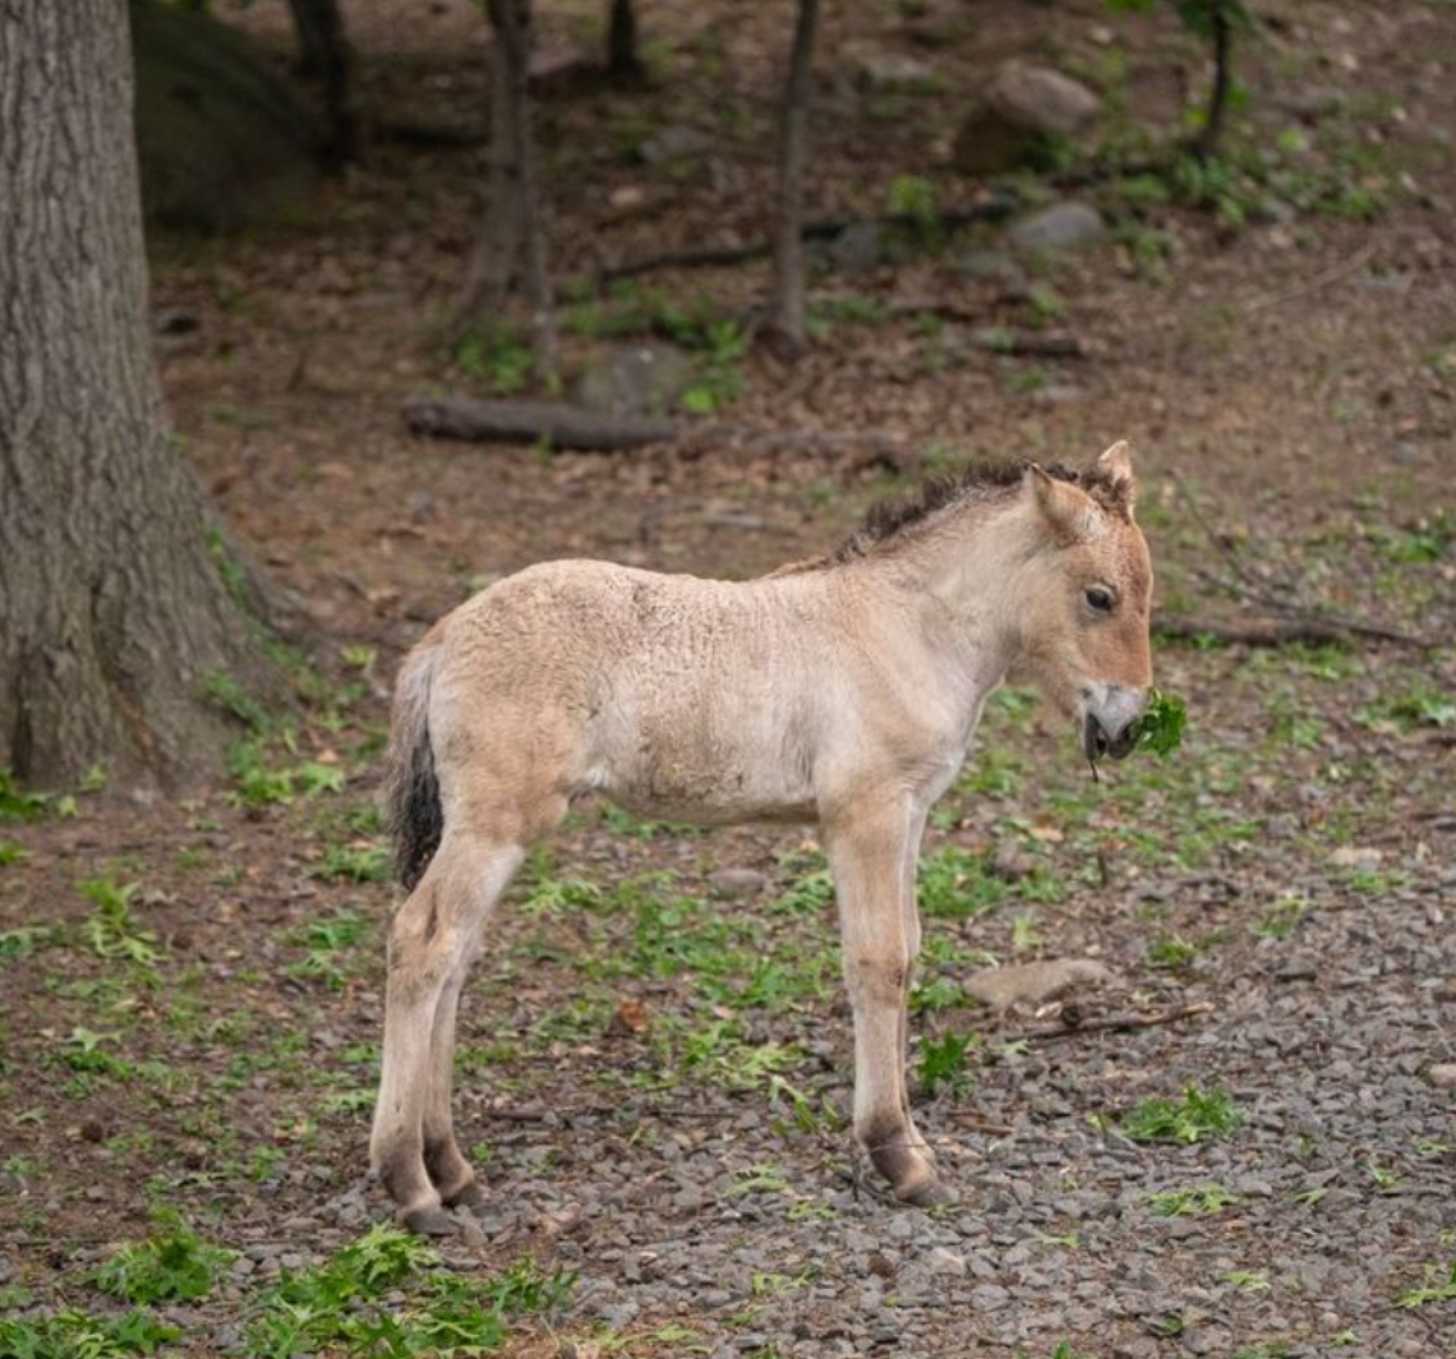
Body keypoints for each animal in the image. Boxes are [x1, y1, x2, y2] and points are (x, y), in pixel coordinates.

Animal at [370, 441, 1154, 1232]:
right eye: (1099, 596)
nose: (1124, 729)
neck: (909, 628)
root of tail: (447, 632)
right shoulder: (864, 814)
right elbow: (879, 962)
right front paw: (898, 1156)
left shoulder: (910, 813)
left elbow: (909, 950)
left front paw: (908, 1139)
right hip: (496, 823)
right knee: (423, 941)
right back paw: (411, 1182)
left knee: (456, 956)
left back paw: (452, 1167)